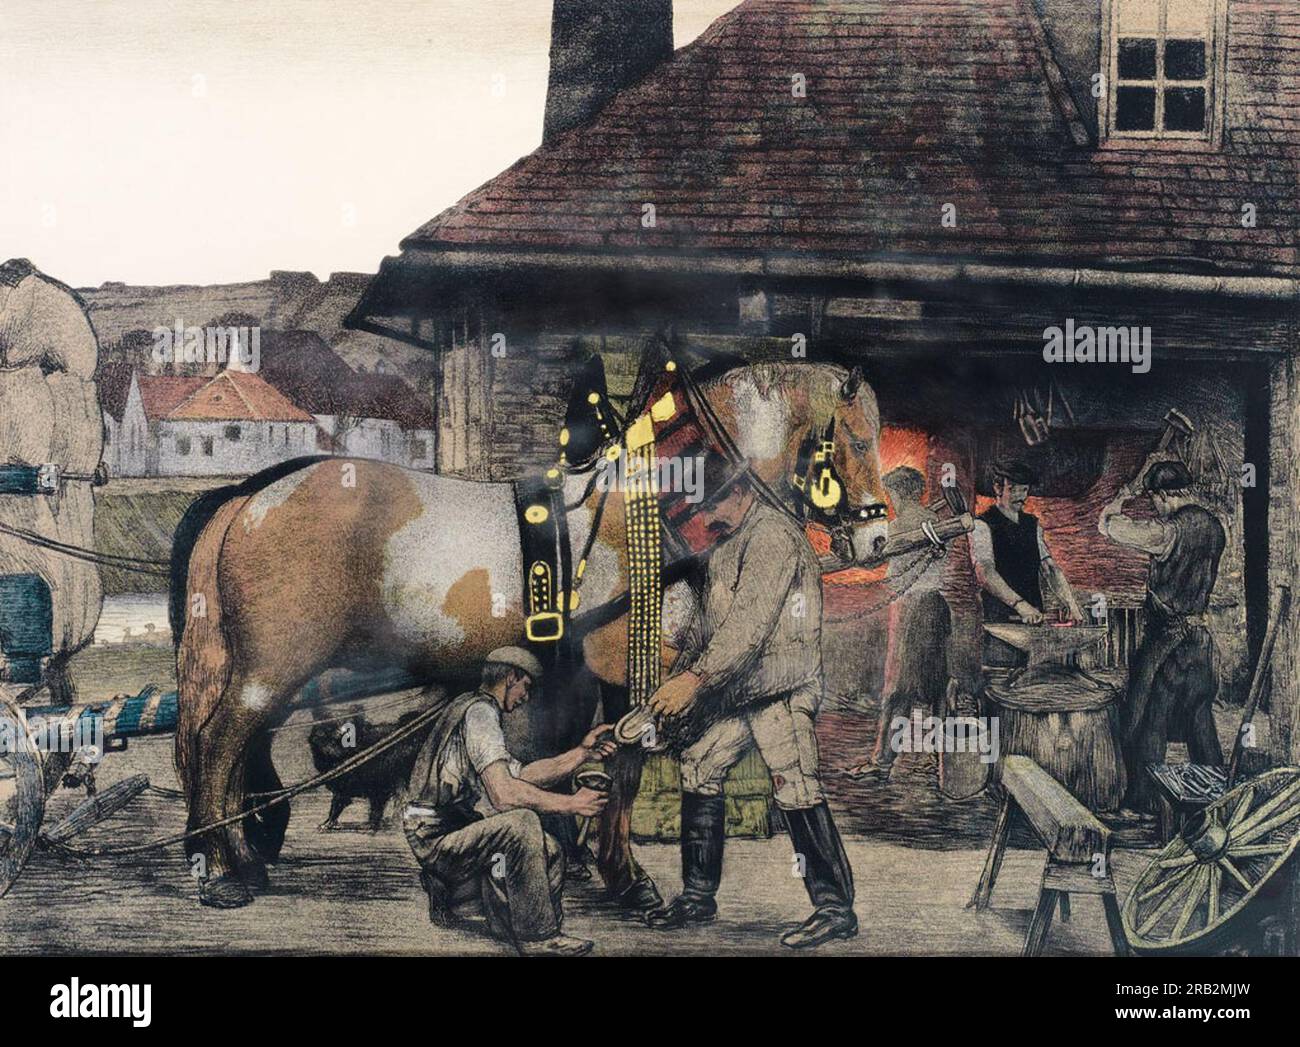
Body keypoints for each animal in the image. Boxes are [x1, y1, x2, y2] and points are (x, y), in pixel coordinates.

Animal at [170, 361, 883, 905]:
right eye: (855, 438)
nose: (876, 537)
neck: (654, 501)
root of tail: (251, 496)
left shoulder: (570, 668)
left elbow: (564, 750)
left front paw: (577, 855)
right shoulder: (621, 664)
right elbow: (621, 770)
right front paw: (625, 878)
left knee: (235, 745)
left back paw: (240, 852)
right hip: (271, 669)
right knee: (217, 744)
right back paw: (228, 869)